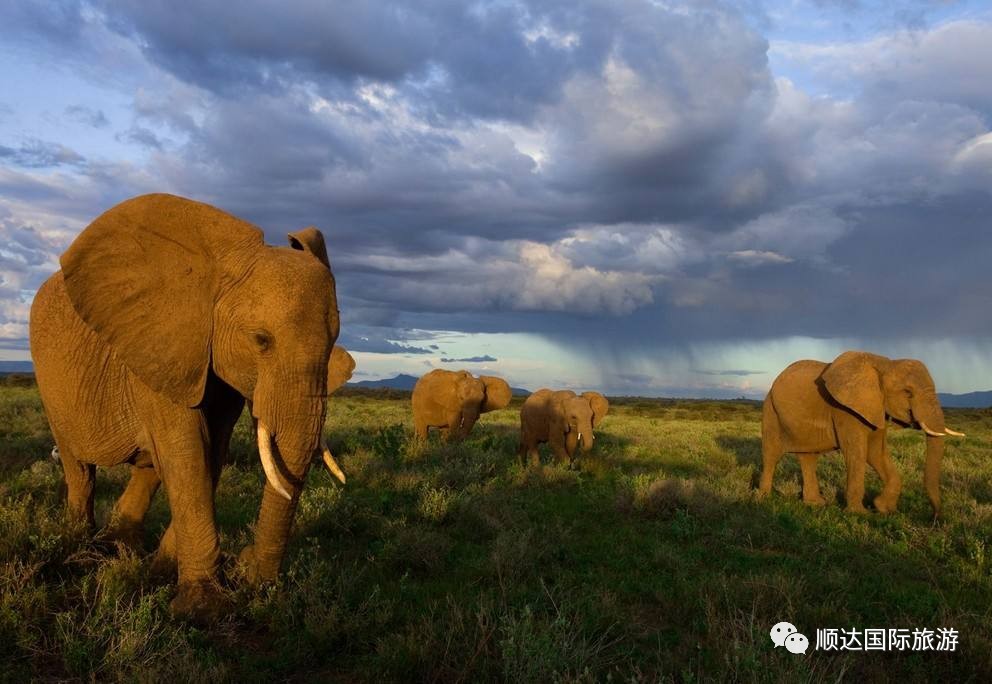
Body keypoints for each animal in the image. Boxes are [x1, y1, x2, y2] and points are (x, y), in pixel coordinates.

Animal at [30, 194, 348, 620]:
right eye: (260, 340)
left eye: (334, 342)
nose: (248, 567)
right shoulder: (161, 345)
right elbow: (189, 452)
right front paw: (202, 608)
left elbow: (210, 451)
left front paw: (166, 574)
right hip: (51, 386)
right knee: (79, 467)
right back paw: (80, 550)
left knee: (148, 467)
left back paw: (123, 549)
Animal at [760, 350, 960, 516]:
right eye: (908, 392)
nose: (935, 518)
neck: (886, 364)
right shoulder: (844, 410)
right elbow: (857, 452)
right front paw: (860, 513)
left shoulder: (877, 408)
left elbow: (876, 453)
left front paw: (884, 509)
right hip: (770, 411)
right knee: (771, 454)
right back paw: (762, 499)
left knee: (808, 457)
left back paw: (815, 504)